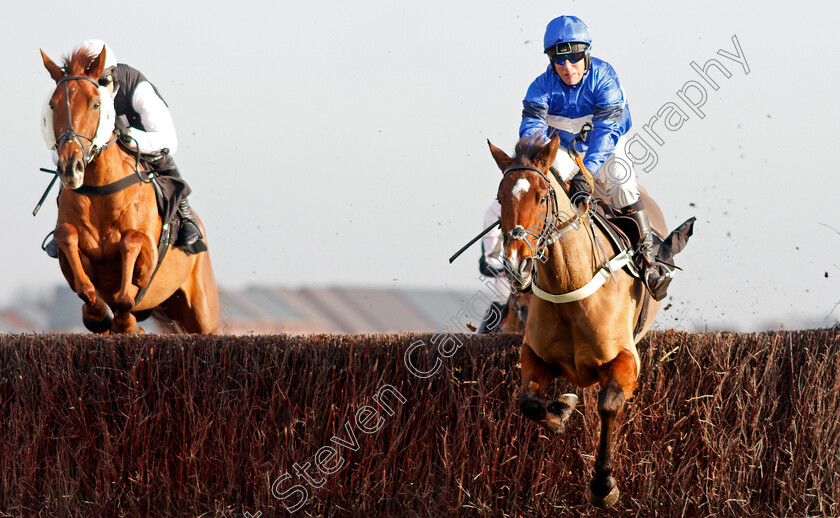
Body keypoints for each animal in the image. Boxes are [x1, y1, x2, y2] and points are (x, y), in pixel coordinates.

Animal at [41, 46, 220, 336]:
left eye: (96, 103)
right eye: (53, 104)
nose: (71, 167)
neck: (100, 191)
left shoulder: (148, 253)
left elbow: (132, 244)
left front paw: (127, 322)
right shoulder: (74, 255)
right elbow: (67, 237)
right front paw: (98, 314)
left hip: (202, 311)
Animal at [488, 136, 668, 510]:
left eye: (543, 196)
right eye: (500, 198)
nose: (516, 263)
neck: (568, 284)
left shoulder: (626, 359)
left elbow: (609, 403)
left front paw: (603, 485)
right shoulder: (534, 355)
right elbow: (528, 402)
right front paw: (562, 409)